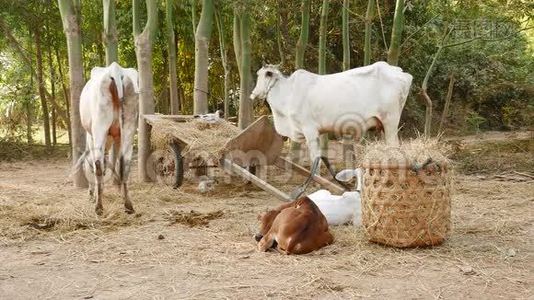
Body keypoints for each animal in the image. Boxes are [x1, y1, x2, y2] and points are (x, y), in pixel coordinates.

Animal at [78, 62, 140, 214]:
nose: (89, 193)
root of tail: (115, 70)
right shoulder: (117, 136)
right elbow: (114, 160)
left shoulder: (91, 137)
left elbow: (96, 164)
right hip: (129, 127)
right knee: (125, 164)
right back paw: (128, 204)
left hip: (99, 127)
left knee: (98, 165)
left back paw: (98, 207)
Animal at [251, 61, 414, 198]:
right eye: (258, 74)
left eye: (264, 75)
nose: (253, 94)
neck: (288, 94)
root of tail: (400, 72)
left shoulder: (310, 130)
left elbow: (315, 158)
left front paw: (315, 182)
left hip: (390, 122)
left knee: (395, 149)